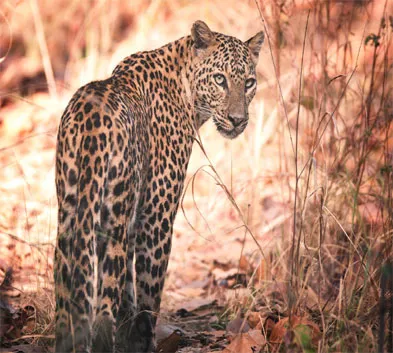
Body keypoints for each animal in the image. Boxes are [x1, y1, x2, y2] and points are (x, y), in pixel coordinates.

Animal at [54, 20, 264, 350]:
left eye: (249, 82)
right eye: (220, 79)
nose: (238, 120)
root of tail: (91, 123)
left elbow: (130, 296)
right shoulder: (156, 217)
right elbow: (148, 295)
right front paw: (145, 343)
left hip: (69, 212)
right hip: (111, 223)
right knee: (102, 311)